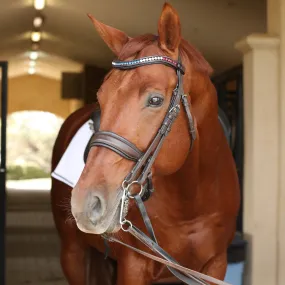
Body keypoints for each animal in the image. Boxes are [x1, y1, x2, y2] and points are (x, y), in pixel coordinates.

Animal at [50, 2, 240, 284]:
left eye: (155, 100)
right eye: (101, 98)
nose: (86, 203)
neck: (191, 200)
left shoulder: (215, 266)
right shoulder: (134, 266)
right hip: (73, 253)